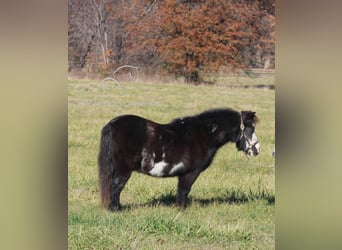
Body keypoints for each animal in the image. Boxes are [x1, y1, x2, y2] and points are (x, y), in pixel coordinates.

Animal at [98, 108, 260, 211]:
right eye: (250, 127)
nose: (257, 149)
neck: (204, 134)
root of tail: (113, 124)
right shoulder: (190, 173)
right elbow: (184, 190)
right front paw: (181, 209)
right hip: (123, 169)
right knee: (117, 186)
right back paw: (115, 209)